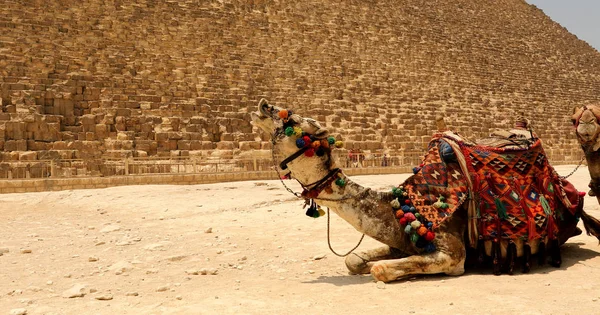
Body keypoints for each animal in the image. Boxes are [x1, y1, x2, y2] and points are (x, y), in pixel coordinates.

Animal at [251, 100, 600, 282]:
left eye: (293, 119)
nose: (263, 106)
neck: (401, 204)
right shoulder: (401, 238)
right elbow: (354, 260)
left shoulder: (453, 255)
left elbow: (379, 270)